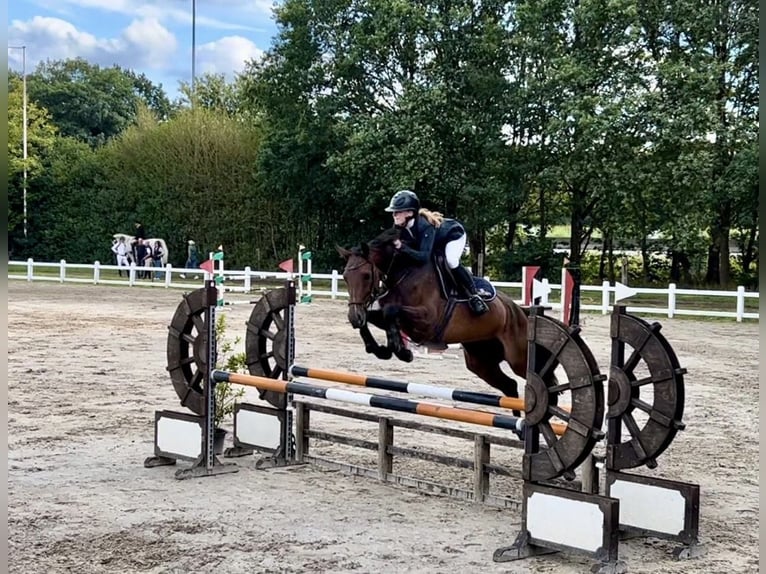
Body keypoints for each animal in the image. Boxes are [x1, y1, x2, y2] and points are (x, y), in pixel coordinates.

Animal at [340, 227, 536, 412]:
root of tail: (518, 310)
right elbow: (375, 319)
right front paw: (382, 349)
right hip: (481, 361)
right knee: (509, 385)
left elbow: (390, 311)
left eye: (366, 275)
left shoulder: (428, 321)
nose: (354, 316)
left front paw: (402, 352)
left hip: (518, 359)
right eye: (345, 277)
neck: (403, 272)